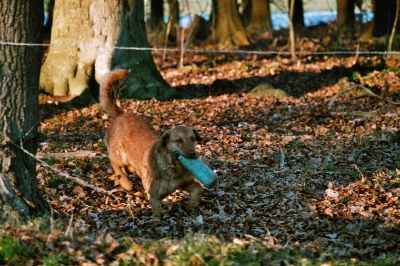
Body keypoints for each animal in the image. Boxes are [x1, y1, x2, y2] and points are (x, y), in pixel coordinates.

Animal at [99, 69, 205, 217]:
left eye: (193, 138)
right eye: (179, 141)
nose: (193, 155)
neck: (172, 168)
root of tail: (121, 114)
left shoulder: (185, 183)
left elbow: (198, 189)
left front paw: (190, 205)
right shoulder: (154, 196)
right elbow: (157, 215)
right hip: (120, 156)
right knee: (113, 162)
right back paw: (125, 182)